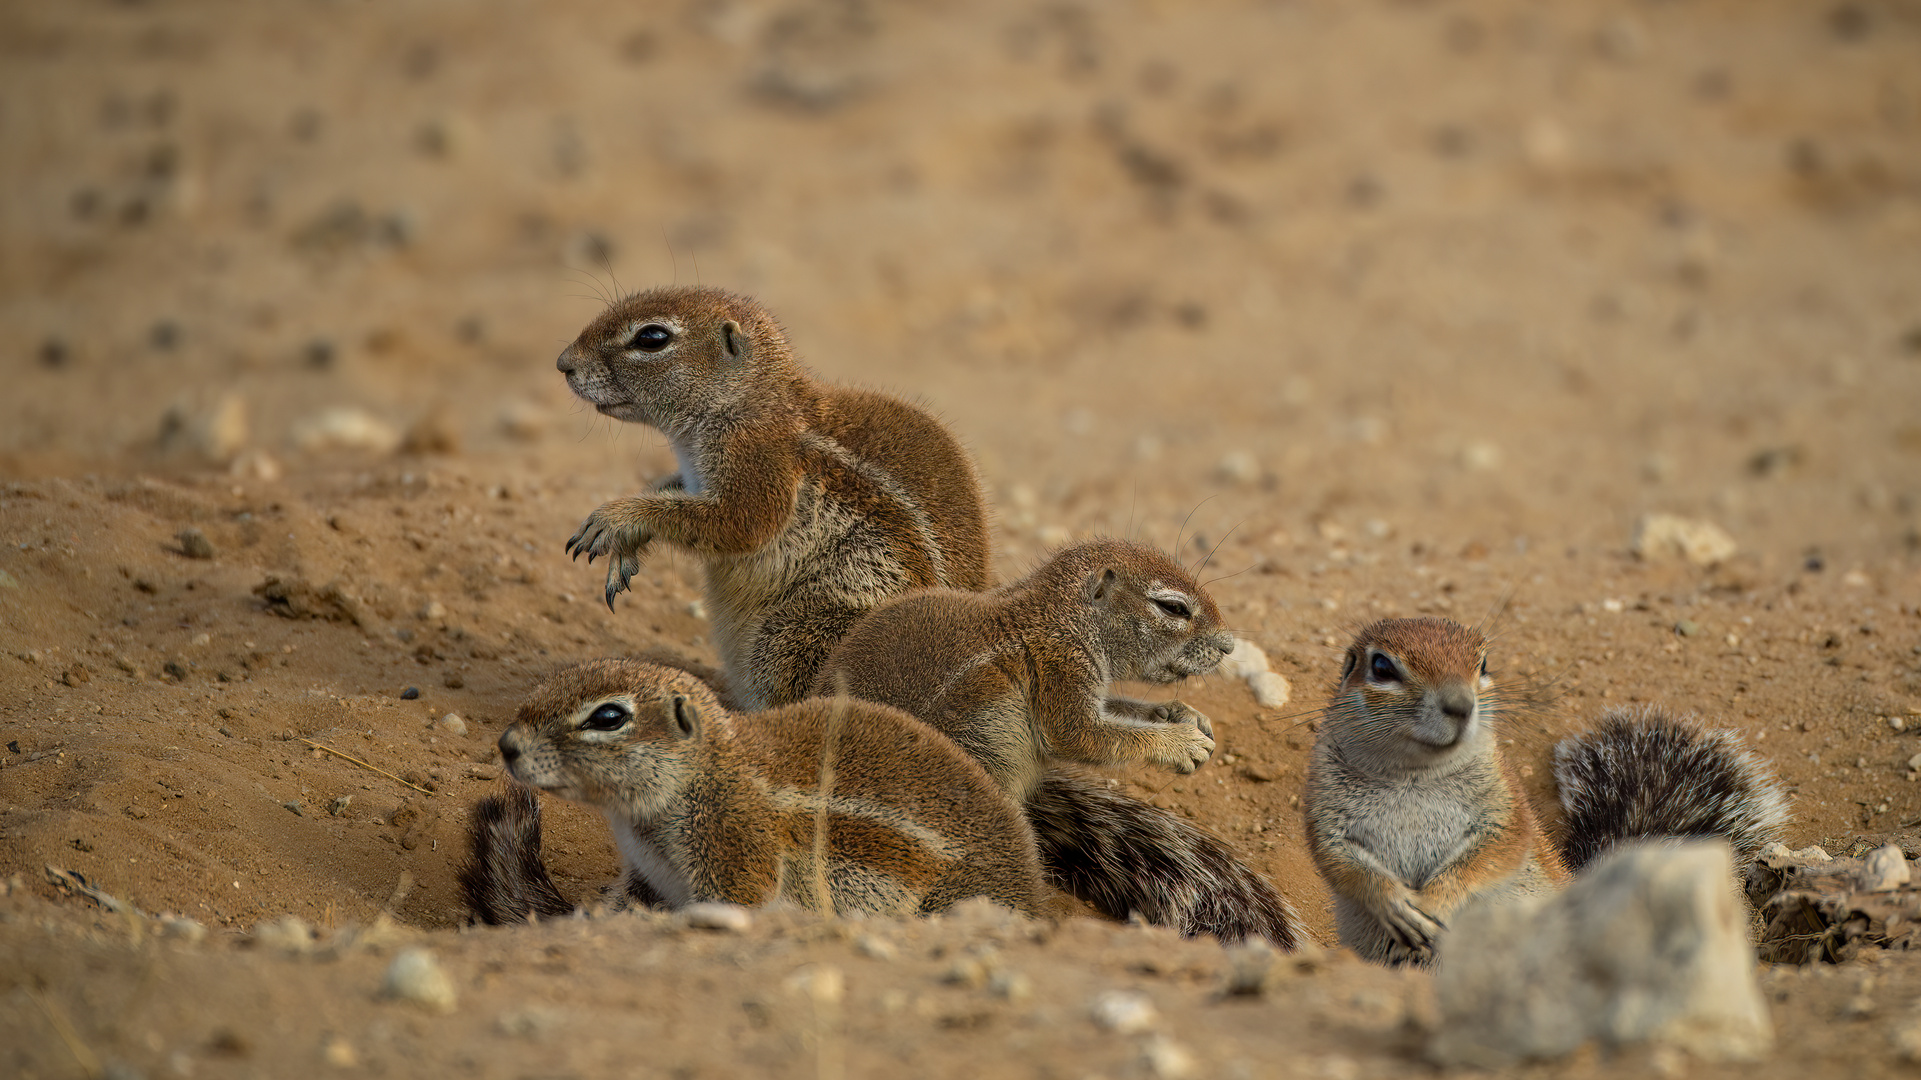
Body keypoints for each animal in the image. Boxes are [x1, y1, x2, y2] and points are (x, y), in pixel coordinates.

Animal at [549, 282, 983, 711]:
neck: (750, 400)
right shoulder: (694, 479)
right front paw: (624, 547)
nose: (563, 363)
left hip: (792, 634)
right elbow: (669, 492)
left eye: (652, 338)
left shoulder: (758, 461)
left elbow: (739, 523)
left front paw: (614, 519)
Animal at [810, 538, 1306, 941]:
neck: (1061, 616)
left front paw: (1178, 715)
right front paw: (1181, 743)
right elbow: (1086, 737)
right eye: (1174, 608)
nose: (1227, 646)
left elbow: (1118, 712)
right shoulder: (1061, 671)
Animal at [1306, 618, 1782, 960]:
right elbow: (1341, 864)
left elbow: (1493, 855)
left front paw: (1437, 902)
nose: (1460, 705)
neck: (1413, 775)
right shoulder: (1324, 814)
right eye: (1381, 667)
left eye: (1483, 664)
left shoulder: (1507, 812)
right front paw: (1393, 903)